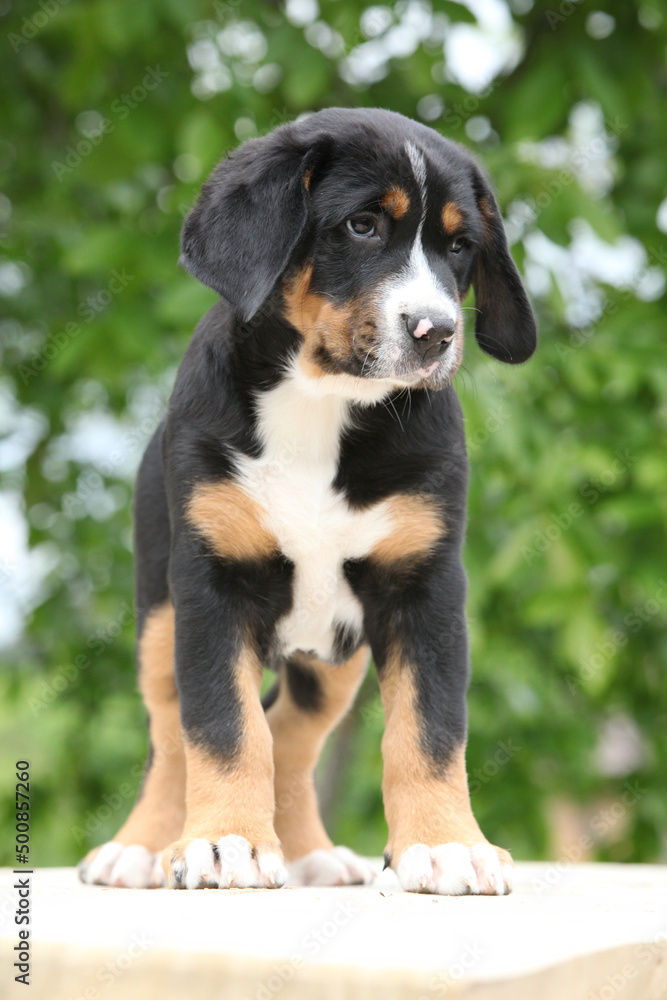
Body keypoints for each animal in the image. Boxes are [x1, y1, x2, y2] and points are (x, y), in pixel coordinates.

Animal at [78, 105, 536, 896]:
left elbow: (430, 730)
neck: (322, 402)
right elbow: (222, 728)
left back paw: (309, 853)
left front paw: (445, 844)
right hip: (159, 616)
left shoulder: (425, 586)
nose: (437, 332)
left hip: (333, 654)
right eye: (362, 226)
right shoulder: (210, 586)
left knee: (292, 731)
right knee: (172, 733)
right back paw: (140, 848)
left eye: (459, 246)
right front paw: (225, 841)